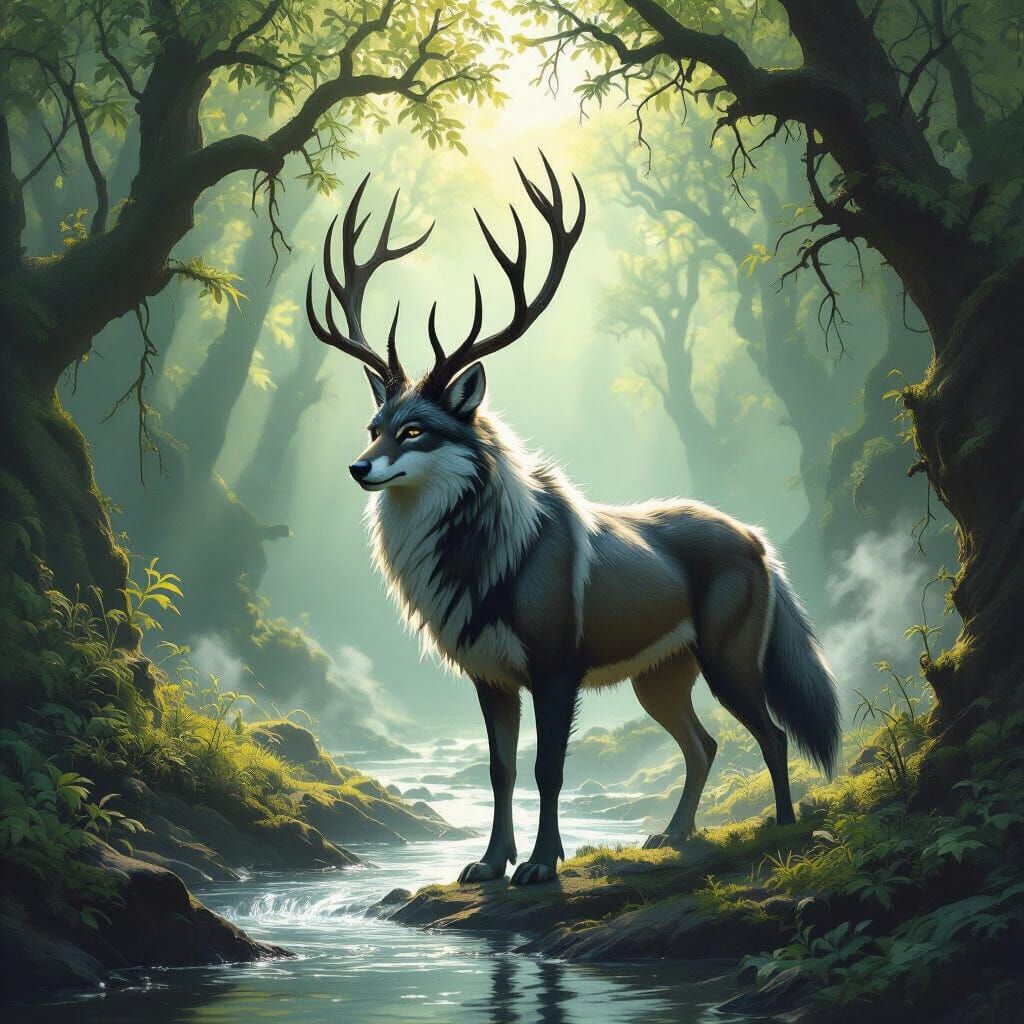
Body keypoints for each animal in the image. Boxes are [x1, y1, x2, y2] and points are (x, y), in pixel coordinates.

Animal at [306, 156, 840, 886]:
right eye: (374, 427)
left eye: (416, 430)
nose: (359, 468)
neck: (484, 570)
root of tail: (759, 543)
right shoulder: (488, 673)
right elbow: (499, 771)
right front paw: (488, 863)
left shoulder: (556, 667)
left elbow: (547, 769)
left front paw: (539, 865)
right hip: (660, 675)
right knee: (702, 744)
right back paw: (671, 834)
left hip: (729, 657)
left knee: (773, 734)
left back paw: (780, 826)